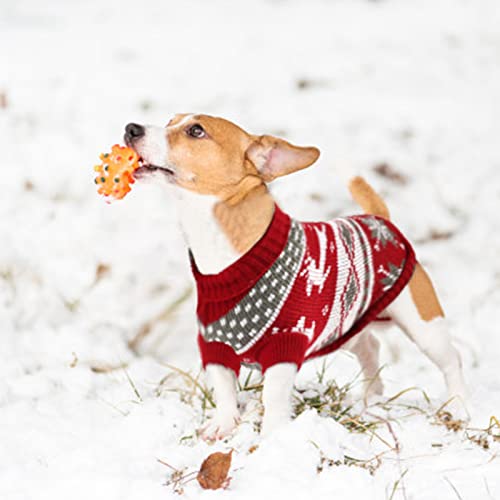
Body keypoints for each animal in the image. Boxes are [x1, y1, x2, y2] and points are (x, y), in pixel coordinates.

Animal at [123, 113, 466, 438]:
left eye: (196, 130)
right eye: (169, 120)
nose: (131, 129)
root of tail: (380, 218)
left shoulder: (284, 348)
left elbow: (273, 396)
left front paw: (272, 436)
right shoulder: (214, 347)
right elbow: (223, 390)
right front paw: (223, 425)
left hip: (424, 325)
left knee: (451, 361)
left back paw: (457, 406)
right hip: (345, 327)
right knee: (370, 347)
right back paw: (373, 397)